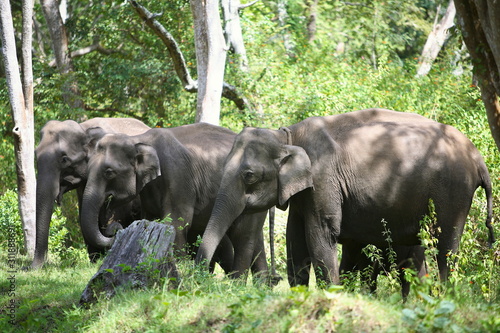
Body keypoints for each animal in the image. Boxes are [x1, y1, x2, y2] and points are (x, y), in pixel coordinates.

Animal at [29, 116, 148, 268]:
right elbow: (84, 216)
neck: (84, 128)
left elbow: (115, 214)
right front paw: (96, 260)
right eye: (35, 155)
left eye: (64, 159)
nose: (30, 268)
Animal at [78, 122, 276, 280]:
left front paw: (179, 265)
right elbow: (151, 219)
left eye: (109, 172)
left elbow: (178, 220)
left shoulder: (178, 177)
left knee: (243, 234)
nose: (114, 228)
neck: (139, 139)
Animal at [193, 107, 494, 288]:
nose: (197, 278)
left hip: (453, 192)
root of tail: (479, 160)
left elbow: (321, 234)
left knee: (447, 246)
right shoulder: (305, 193)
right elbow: (295, 239)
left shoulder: (323, 178)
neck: (287, 135)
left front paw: (331, 294)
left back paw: (445, 293)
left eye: (249, 176)